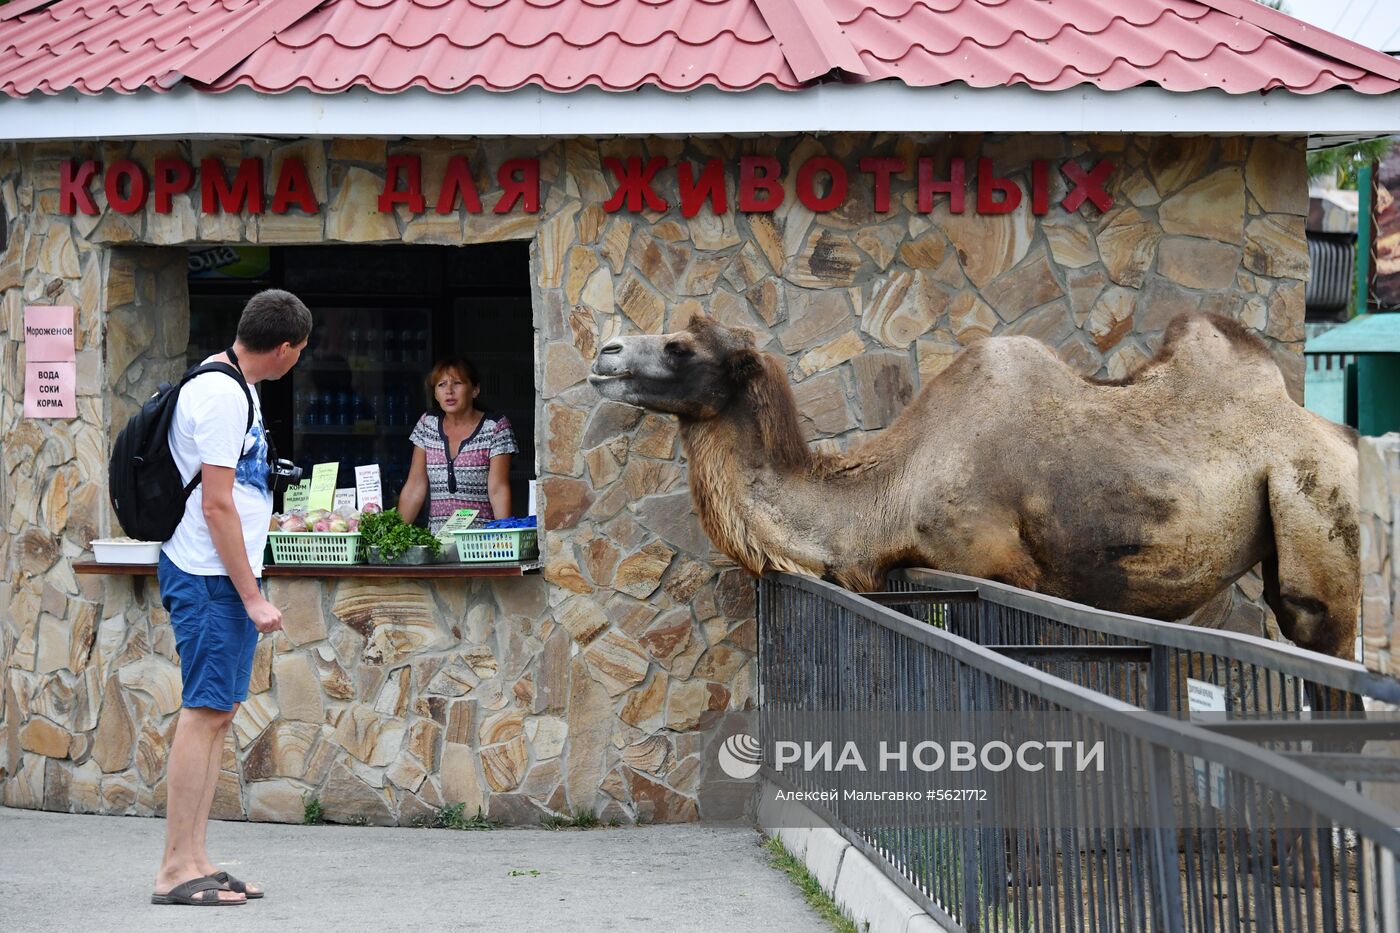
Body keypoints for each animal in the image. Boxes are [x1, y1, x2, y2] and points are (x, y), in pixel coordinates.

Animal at [585, 308, 1360, 658]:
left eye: (681, 347)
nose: (603, 351)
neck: (890, 494)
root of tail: (1348, 441)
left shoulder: (1004, 571)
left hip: (1318, 508)